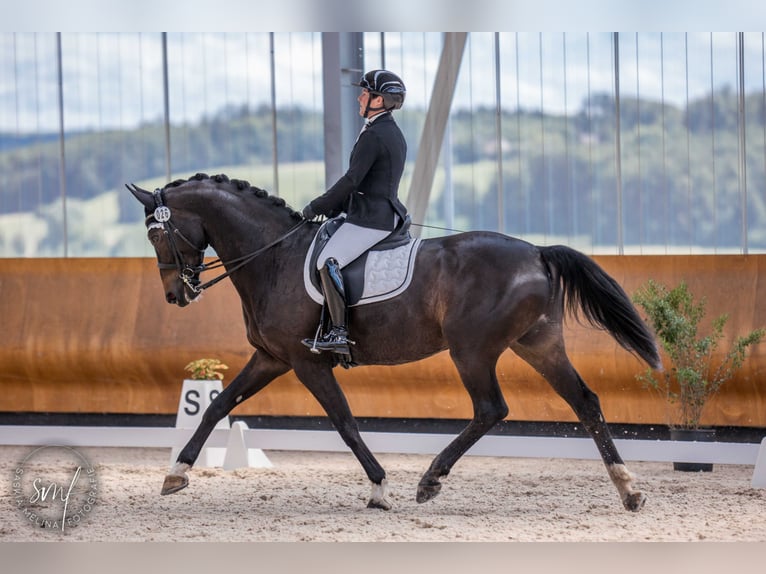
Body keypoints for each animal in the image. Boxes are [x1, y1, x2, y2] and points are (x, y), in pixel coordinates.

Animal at [129, 171, 664, 512]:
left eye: (157, 236)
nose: (177, 295)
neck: (274, 255)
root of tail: (536, 252)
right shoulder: (272, 358)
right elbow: (218, 408)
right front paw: (177, 472)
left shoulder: (306, 361)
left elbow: (344, 422)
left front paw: (380, 488)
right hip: (538, 344)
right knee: (585, 401)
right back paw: (629, 490)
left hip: (472, 350)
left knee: (491, 409)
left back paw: (430, 481)